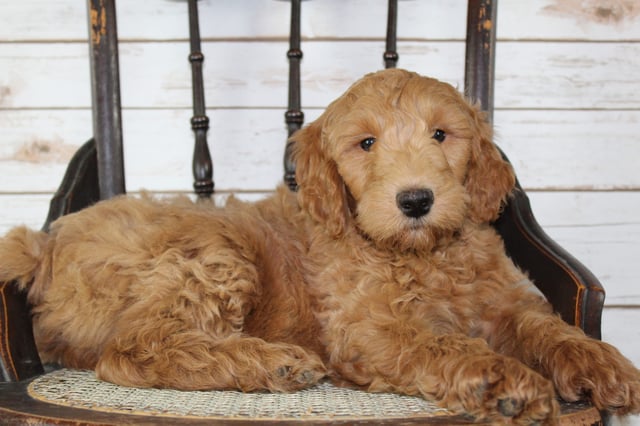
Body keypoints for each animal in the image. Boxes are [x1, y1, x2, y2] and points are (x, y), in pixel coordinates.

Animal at [1, 70, 640, 422]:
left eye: (441, 135)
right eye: (365, 144)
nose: (416, 200)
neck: (421, 254)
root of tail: (44, 244)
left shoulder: (506, 300)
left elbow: (549, 327)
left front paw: (603, 364)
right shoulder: (367, 329)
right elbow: (438, 343)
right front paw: (503, 380)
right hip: (212, 251)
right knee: (133, 348)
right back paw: (272, 363)